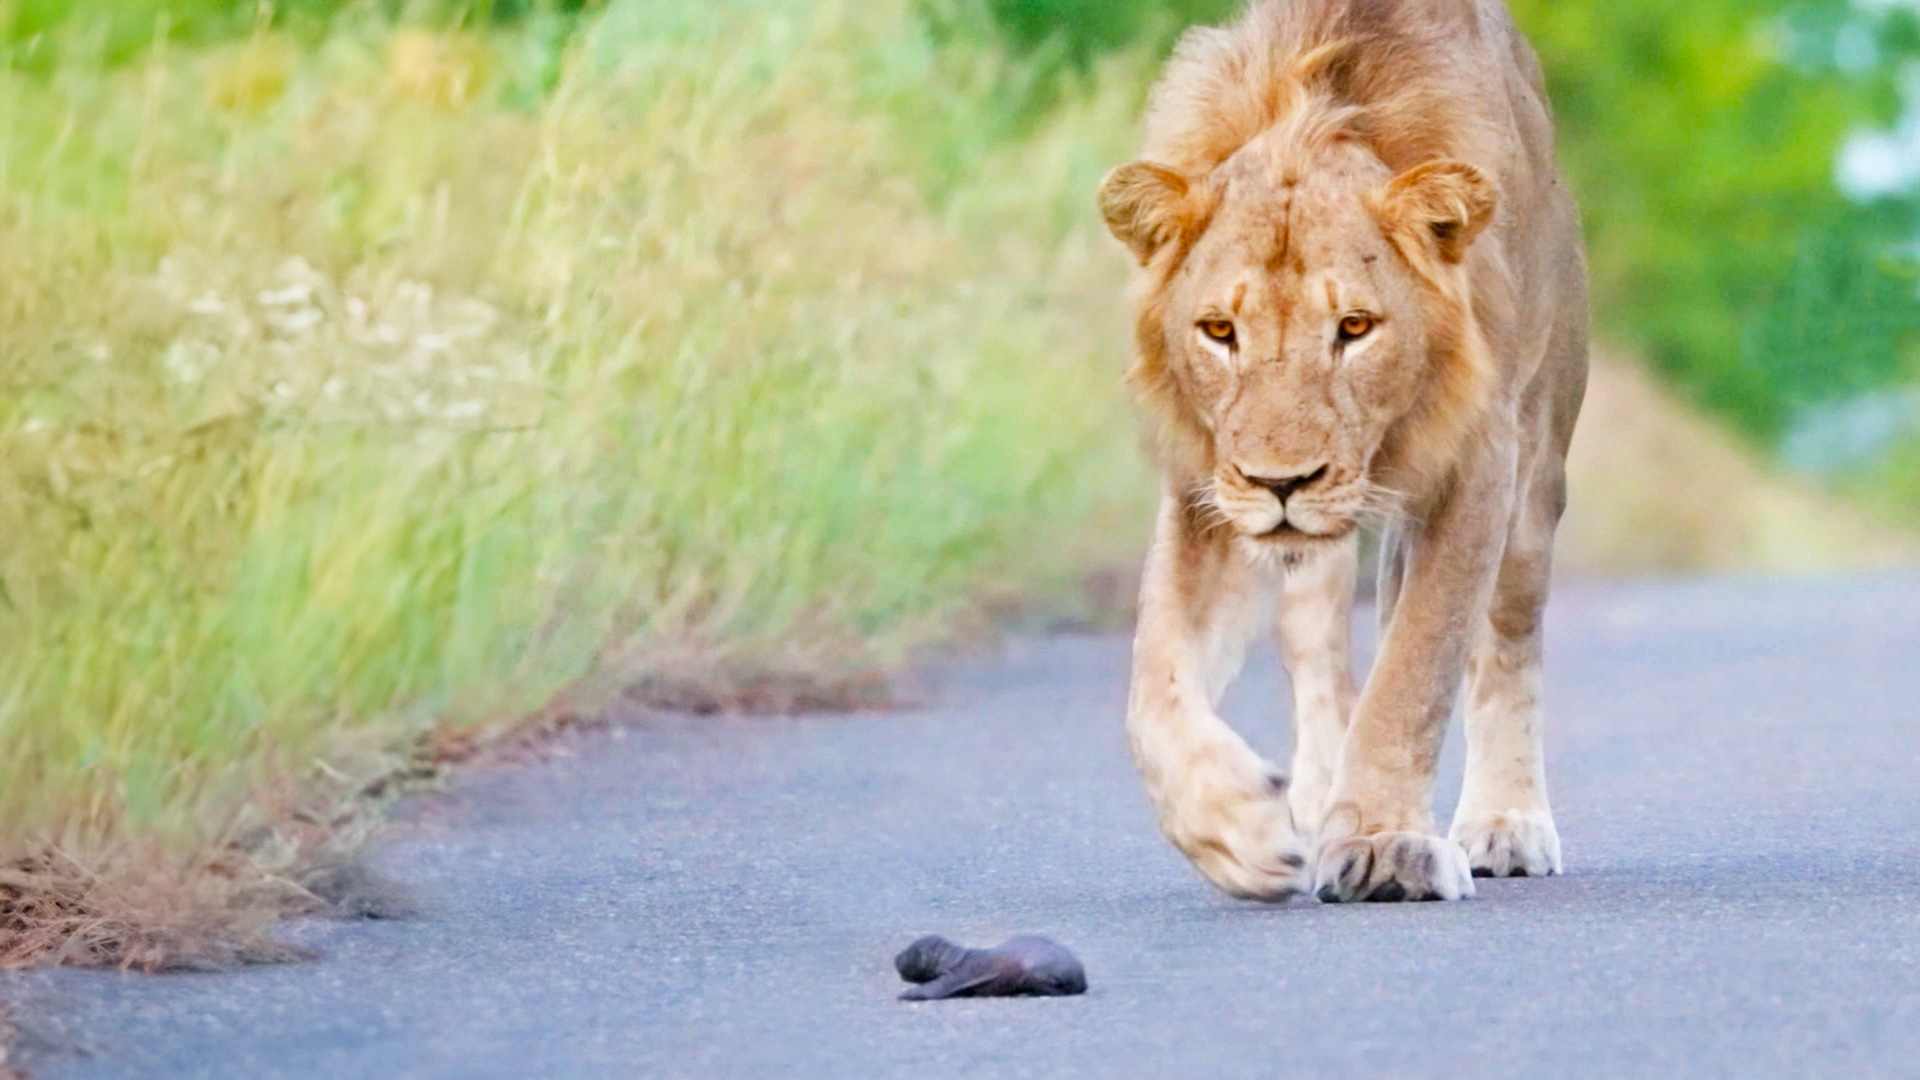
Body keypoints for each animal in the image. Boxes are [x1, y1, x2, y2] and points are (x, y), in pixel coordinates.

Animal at [1105, 0, 1582, 895]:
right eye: (1219, 331)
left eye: (1355, 327)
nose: (1281, 482)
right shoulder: (1207, 485)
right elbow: (1156, 681)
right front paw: (1236, 828)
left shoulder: (1482, 459)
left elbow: (1417, 668)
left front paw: (1383, 842)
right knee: (1315, 642)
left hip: (1538, 476)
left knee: (1504, 634)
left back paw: (1503, 823)